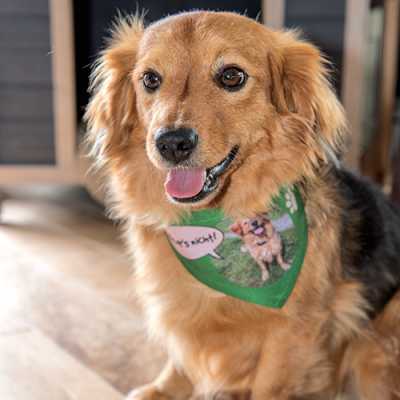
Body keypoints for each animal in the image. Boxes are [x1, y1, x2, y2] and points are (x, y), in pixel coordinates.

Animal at [86, 11, 400, 400]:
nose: (171, 143)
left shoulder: (293, 330)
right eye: (150, 79)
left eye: (231, 76)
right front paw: (164, 389)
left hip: (377, 339)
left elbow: (268, 383)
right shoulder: (183, 308)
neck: (212, 219)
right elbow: (181, 353)